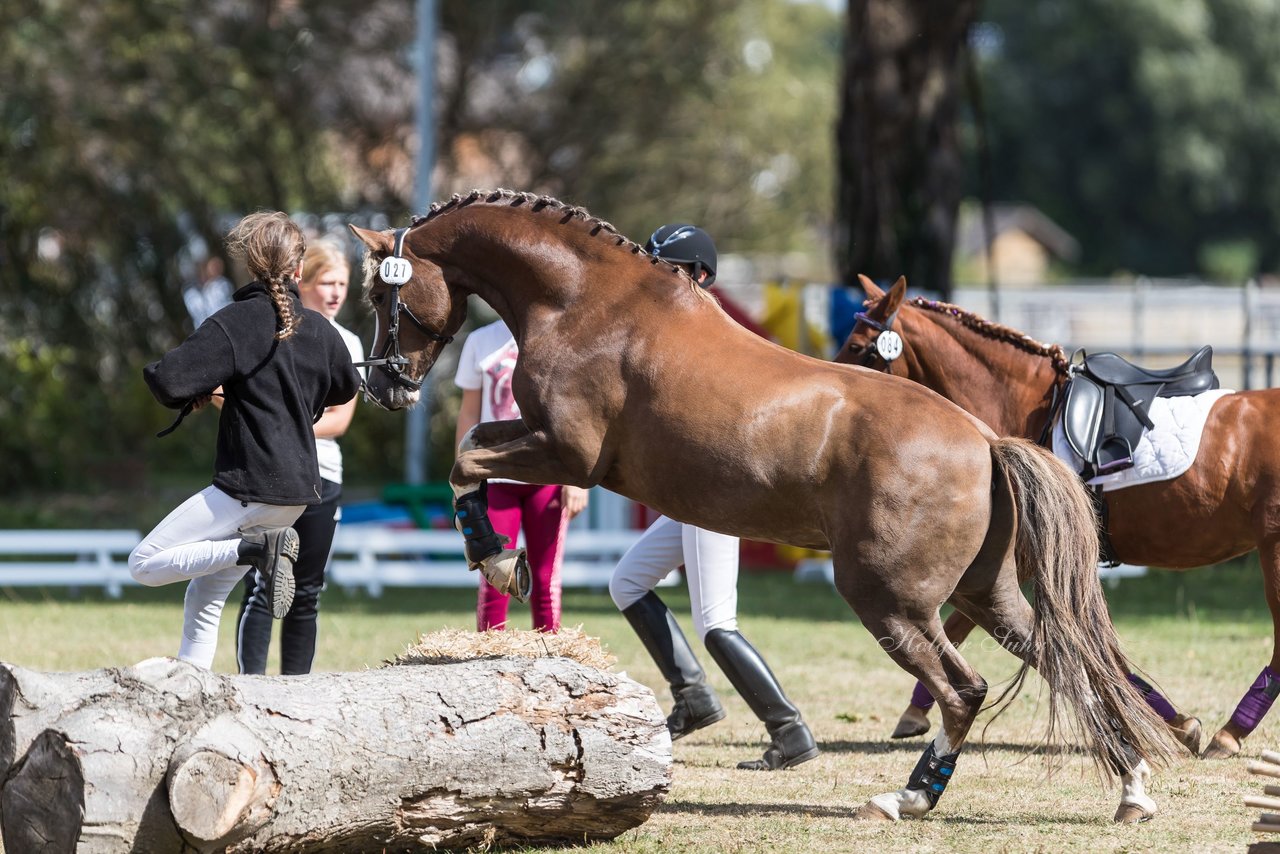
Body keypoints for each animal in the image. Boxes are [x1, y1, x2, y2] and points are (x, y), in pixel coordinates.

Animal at [350, 190, 1177, 824]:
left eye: (381, 293)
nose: (384, 383)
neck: (584, 302)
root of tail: (982, 438)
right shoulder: (547, 445)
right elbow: (473, 452)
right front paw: (501, 558)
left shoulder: (566, 452)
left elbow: (467, 459)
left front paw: (498, 558)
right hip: (988, 592)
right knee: (1067, 662)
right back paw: (1129, 788)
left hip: (889, 598)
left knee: (963, 688)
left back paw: (909, 798)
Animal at [834, 275, 1280, 763]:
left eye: (858, 346)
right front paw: (1174, 721)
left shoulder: (1022, 557)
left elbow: (967, 625)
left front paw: (918, 710)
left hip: (1273, 548)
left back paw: (1231, 732)